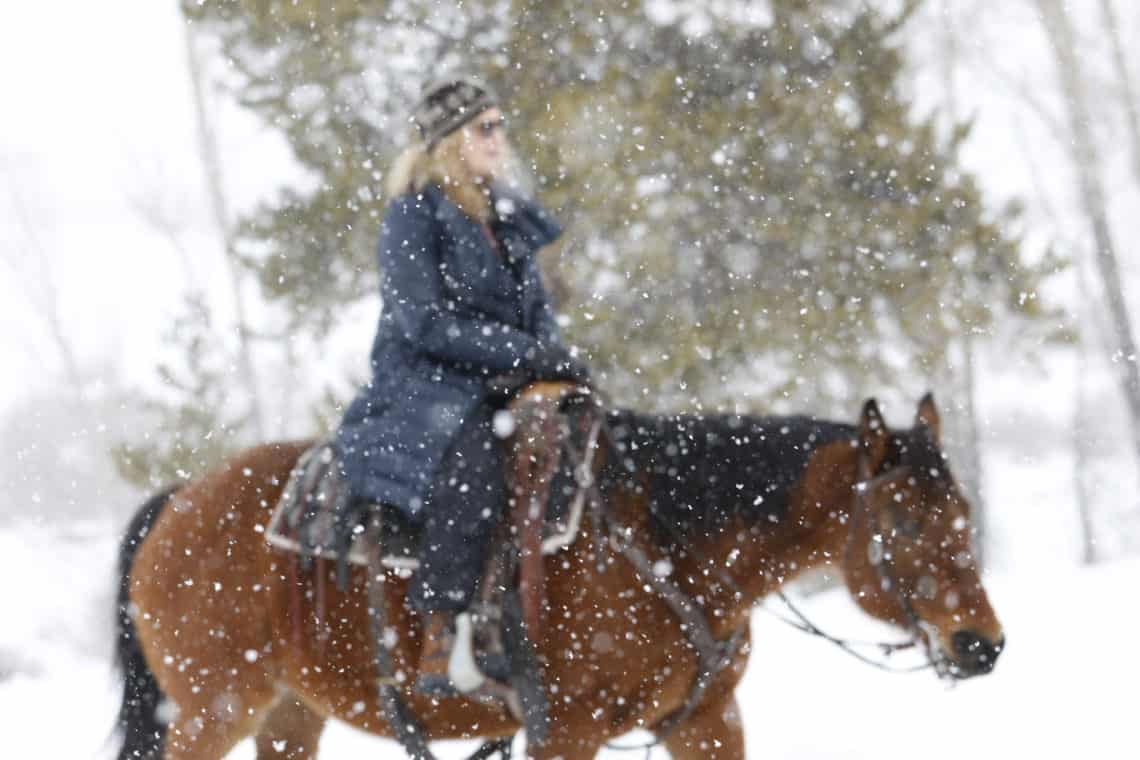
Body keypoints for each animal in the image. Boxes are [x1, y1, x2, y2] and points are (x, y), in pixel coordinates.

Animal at [113, 391, 1007, 760]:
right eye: (904, 522)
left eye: (964, 511)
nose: (982, 644)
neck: (658, 547)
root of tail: (177, 501)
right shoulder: (564, 732)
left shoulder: (705, 721)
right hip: (212, 709)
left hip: (289, 716)